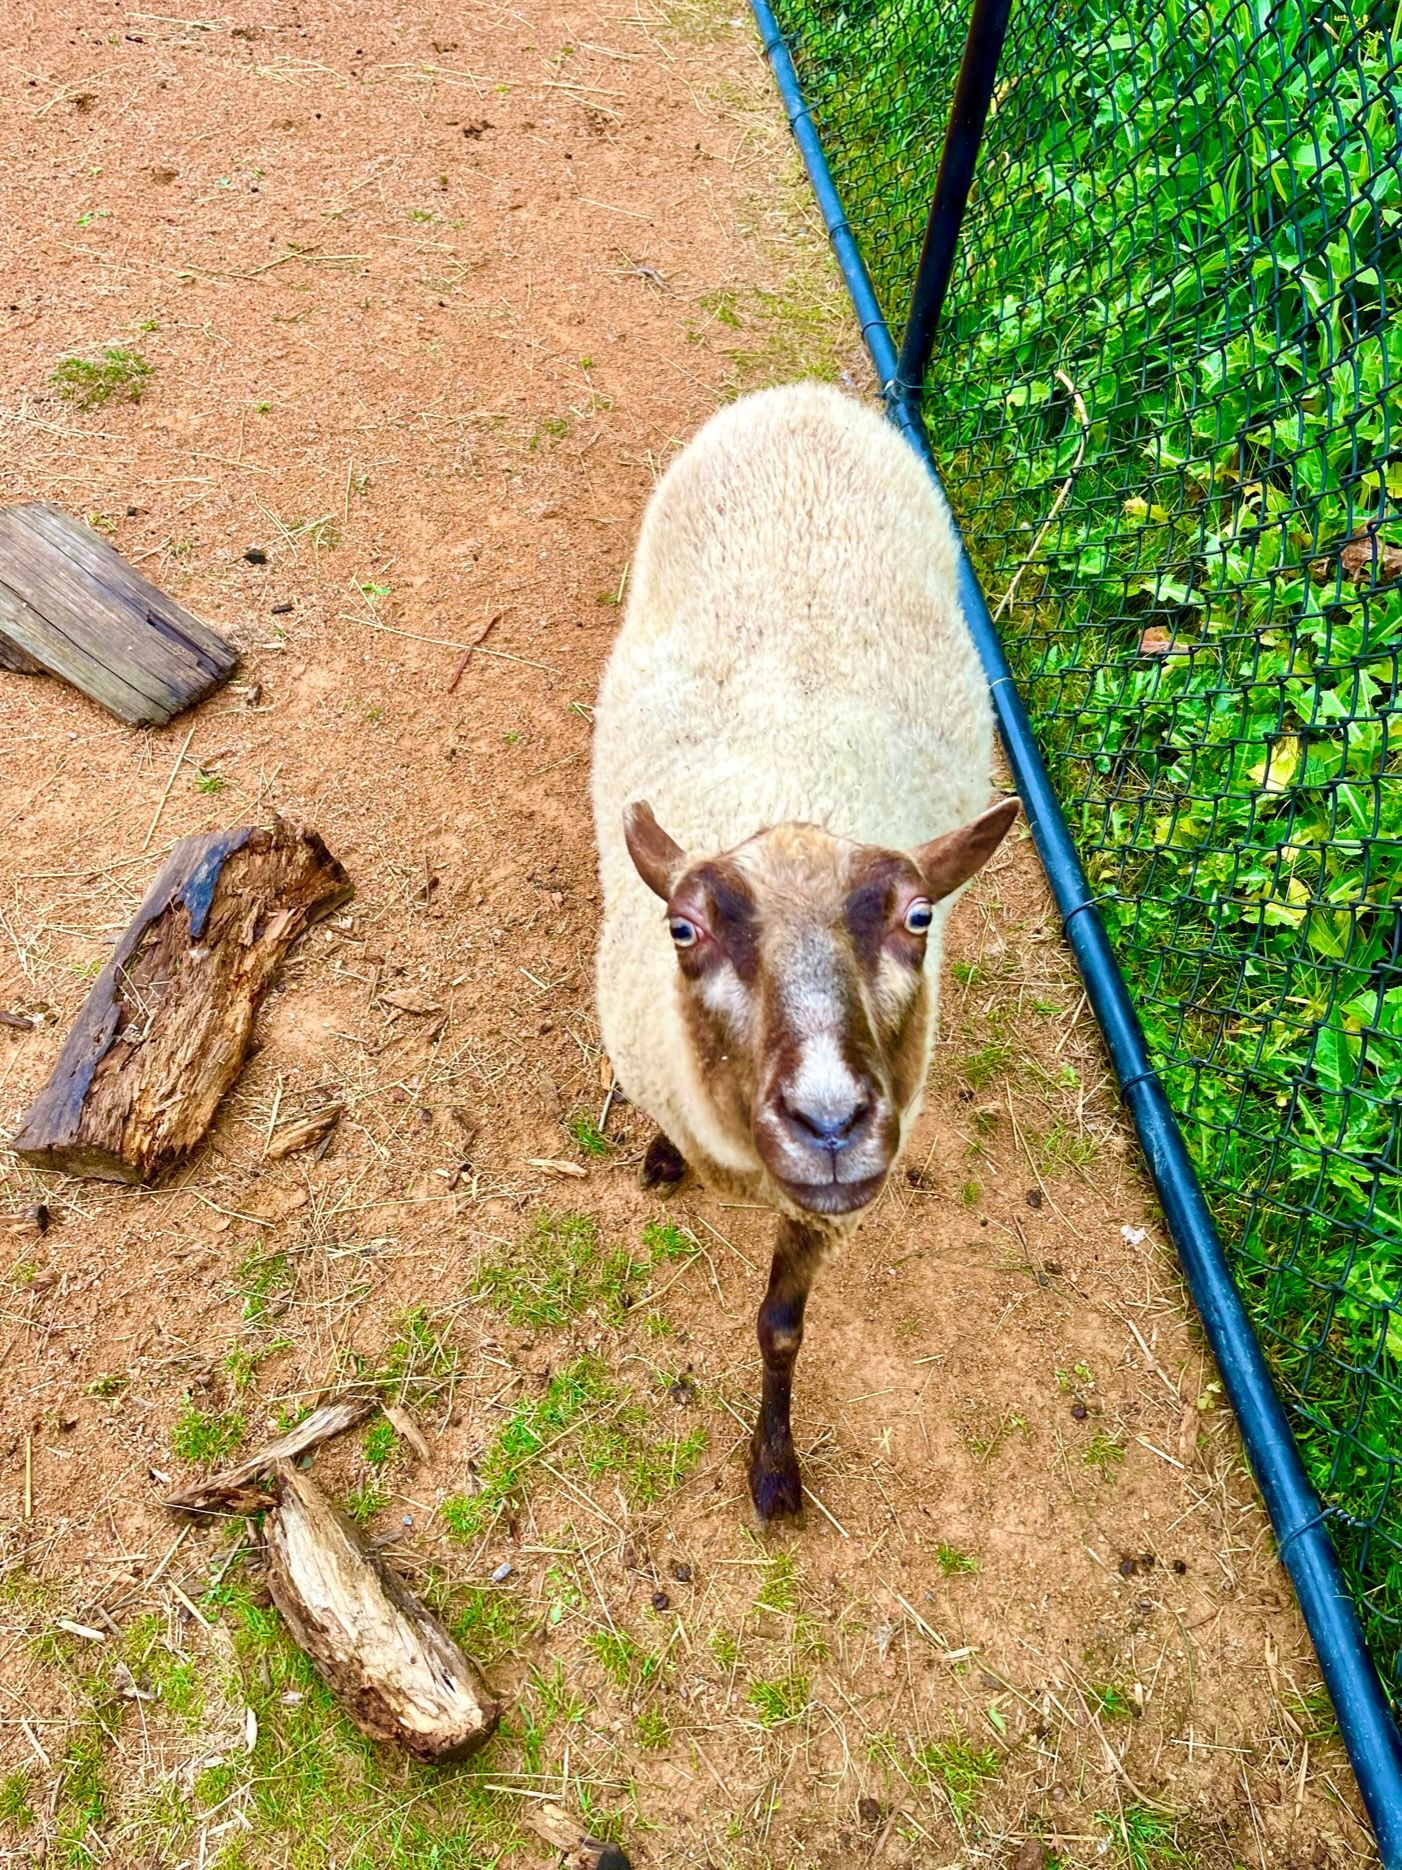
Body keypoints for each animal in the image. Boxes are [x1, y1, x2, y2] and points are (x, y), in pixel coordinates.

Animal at [591, 382, 1018, 1522]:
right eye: (683, 928)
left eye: (919, 918)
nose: (829, 1122)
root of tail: (810, 398)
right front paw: (661, 1156)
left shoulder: (829, 1212)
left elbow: (781, 1328)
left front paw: (773, 1466)